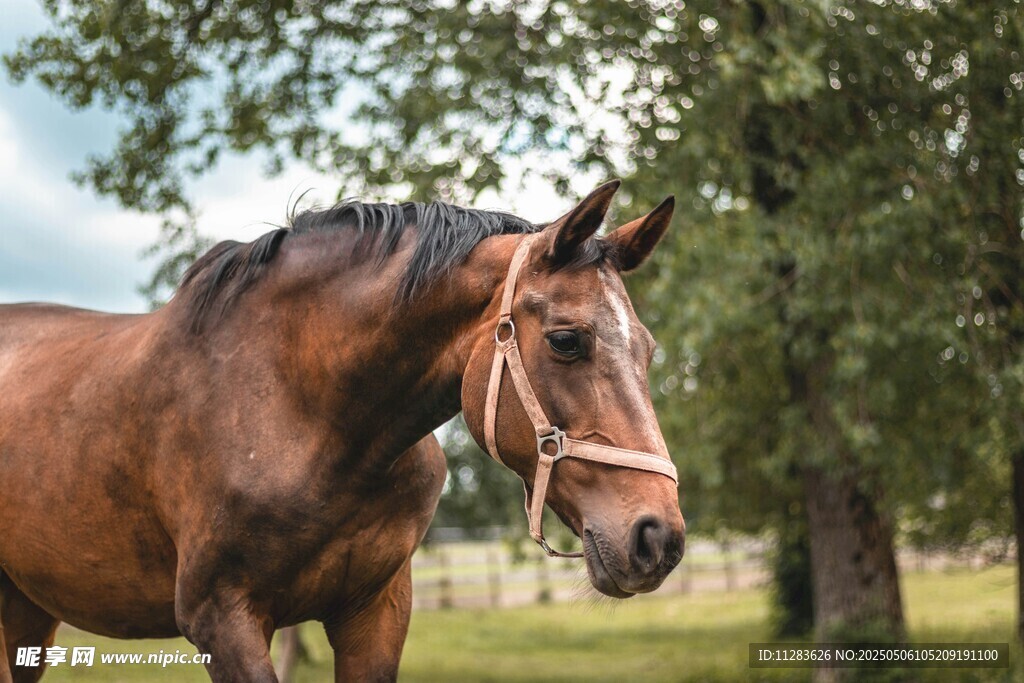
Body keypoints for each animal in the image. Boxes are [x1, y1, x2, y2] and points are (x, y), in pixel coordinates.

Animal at [0, 180, 685, 682]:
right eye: (566, 341)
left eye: (649, 350)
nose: (659, 538)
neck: (305, 411)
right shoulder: (222, 620)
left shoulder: (376, 611)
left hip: (26, 610)